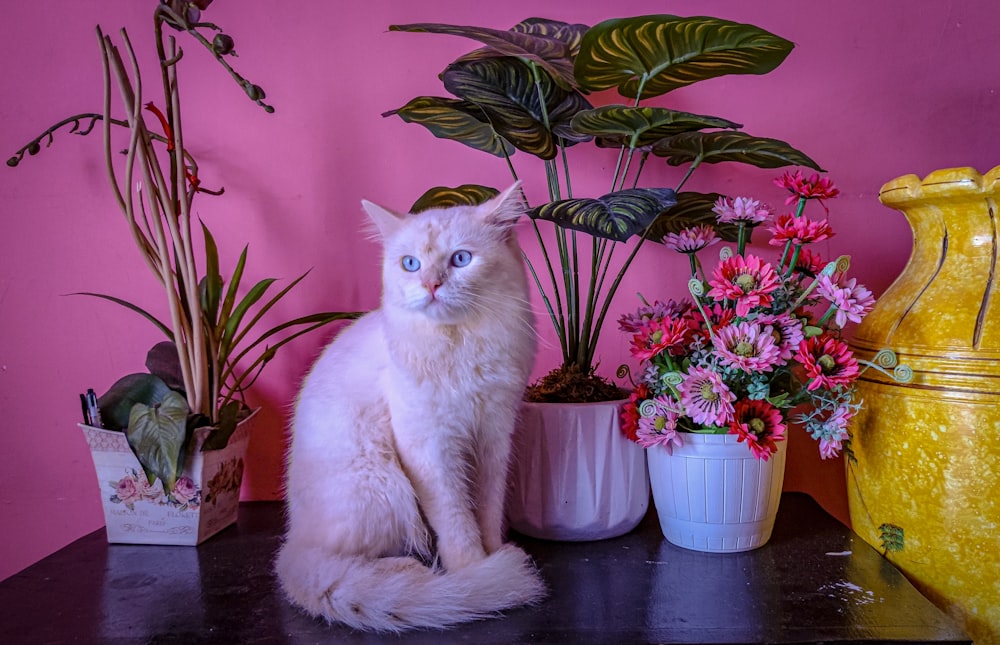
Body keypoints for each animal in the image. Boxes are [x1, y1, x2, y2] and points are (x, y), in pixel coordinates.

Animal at [276, 180, 548, 628]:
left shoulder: (493, 437)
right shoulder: (431, 448)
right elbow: (457, 522)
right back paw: (412, 574)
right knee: (345, 560)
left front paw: (494, 555)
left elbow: (487, 512)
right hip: (382, 486)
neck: (460, 344)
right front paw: (477, 573)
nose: (431, 286)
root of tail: (292, 541)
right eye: (410, 264)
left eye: (461, 259)